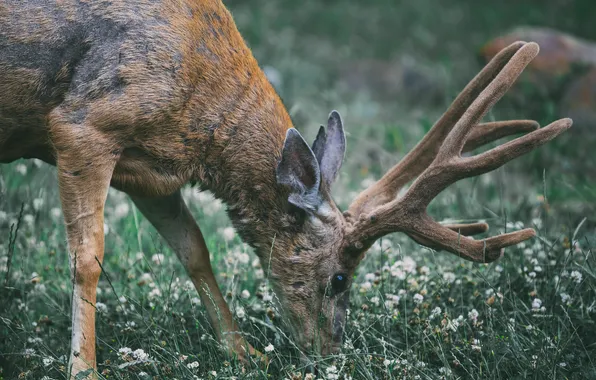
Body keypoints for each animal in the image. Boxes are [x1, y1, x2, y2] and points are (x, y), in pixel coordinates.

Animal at [0, 0, 572, 378]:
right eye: (340, 278)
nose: (331, 353)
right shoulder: (83, 125)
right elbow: (88, 257)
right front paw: (83, 368)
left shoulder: (150, 171)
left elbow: (194, 249)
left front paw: (243, 353)